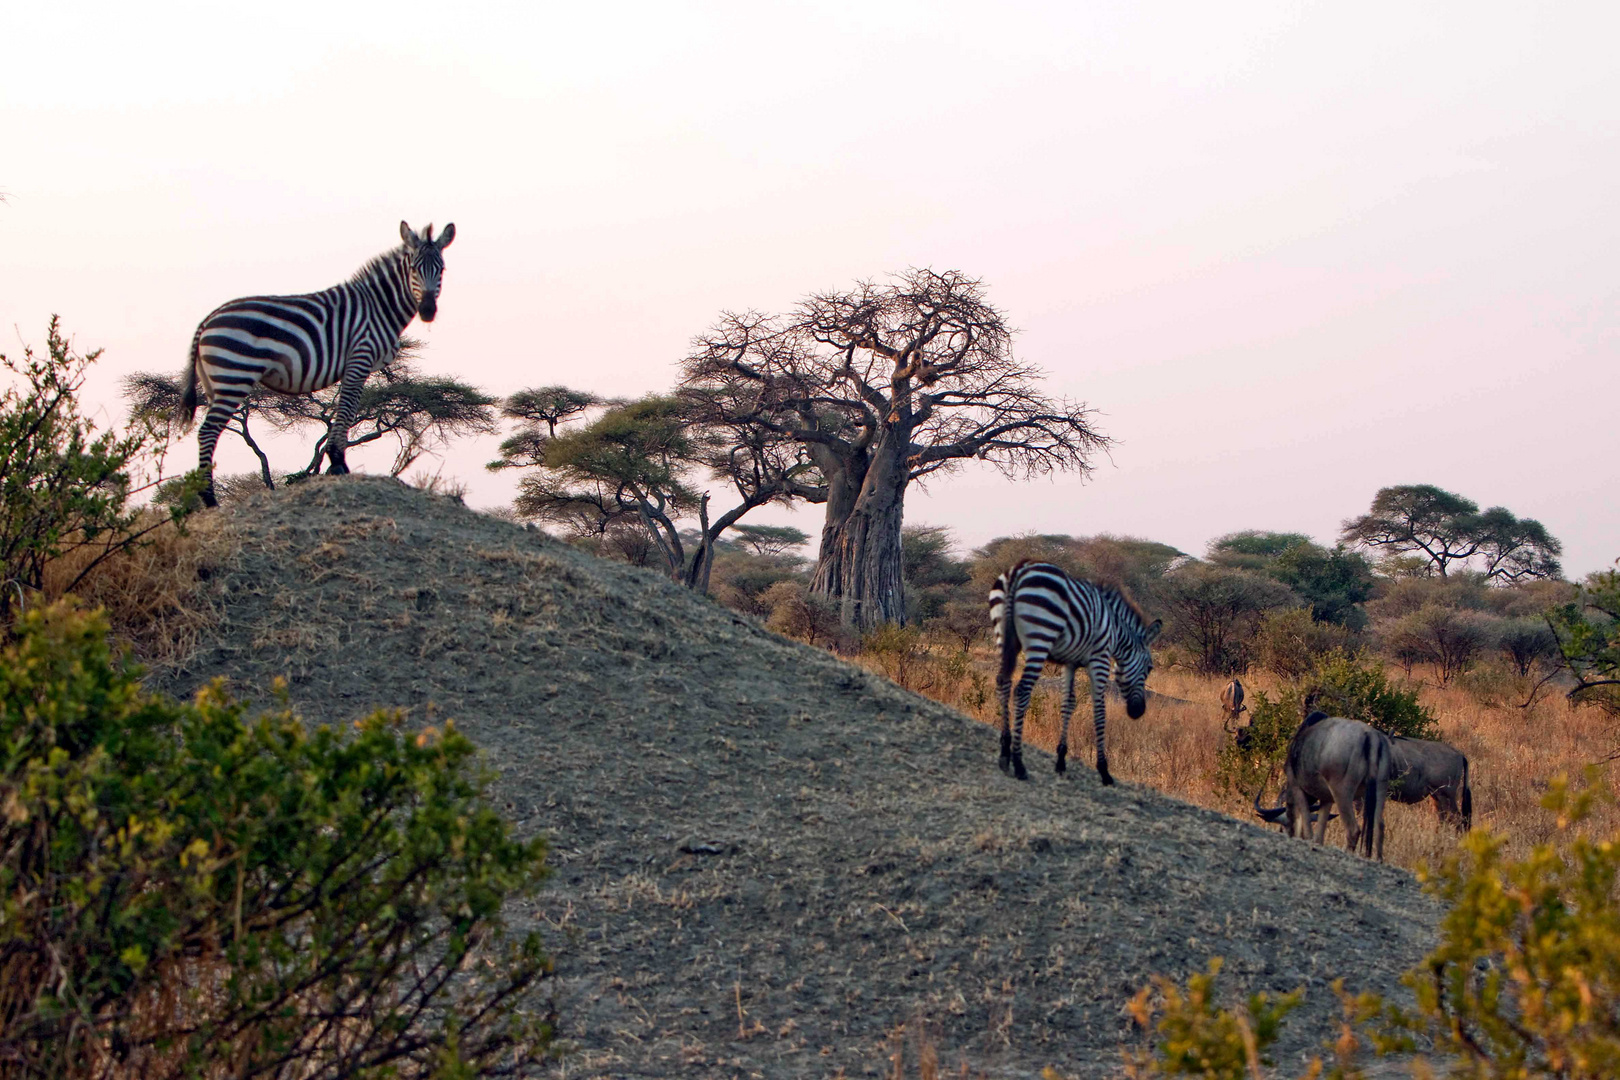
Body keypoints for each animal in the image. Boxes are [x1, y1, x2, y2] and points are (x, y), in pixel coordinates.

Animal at [176, 221, 456, 508]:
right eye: (413, 269)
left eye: (442, 269)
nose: (427, 311)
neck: (378, 307)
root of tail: (208, 319)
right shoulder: (360, 357)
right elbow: (347, 410)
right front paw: (338, 464)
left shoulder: (354, 366)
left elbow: (346, 411)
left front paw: (336, 462)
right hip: (234, 375)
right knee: (208, 431)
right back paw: (209, 500)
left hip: (215, 383)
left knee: (210, 431)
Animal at [984, 563, 1166, 780]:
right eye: (1149, 668)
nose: (1138, 712)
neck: (1115, 631)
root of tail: (1017, 573)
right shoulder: (1100, 658)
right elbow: (1099, 710)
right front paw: (1103, 769)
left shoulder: (1069, 663)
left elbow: (1068, 703)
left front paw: (1061, 760)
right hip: (1040, 638)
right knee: (1022, 690)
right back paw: (1019, 764)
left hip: (1004, 636)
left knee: (1003, 682)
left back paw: (1004, 752)